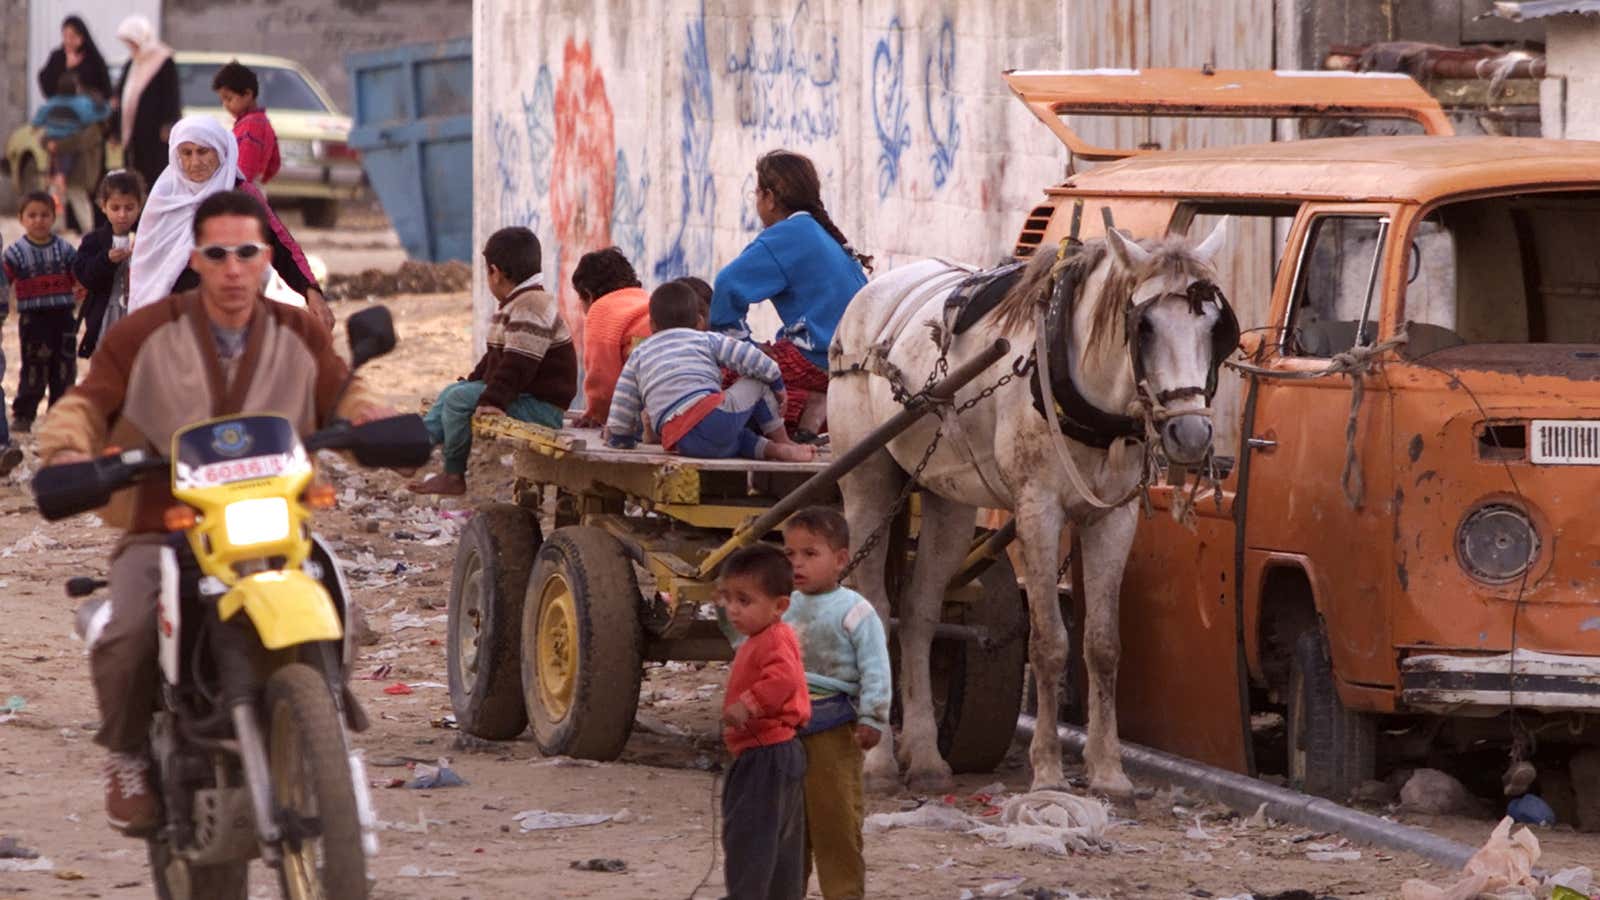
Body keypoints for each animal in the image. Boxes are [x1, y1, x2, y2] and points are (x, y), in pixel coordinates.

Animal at [825, 220, 1235, 794]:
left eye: (1215, 326)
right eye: (1146, 326)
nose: (1191, 433)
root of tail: (870, 294)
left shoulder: (1114, 517)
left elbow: (1102, 645)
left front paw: (1108, 771)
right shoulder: (1038, 510)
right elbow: (1049, 642)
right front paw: (1047, 770)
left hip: (947, 501)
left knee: (920, 613)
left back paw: (926, 757)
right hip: (865, 483)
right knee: (876, 609)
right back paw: (880, 762)